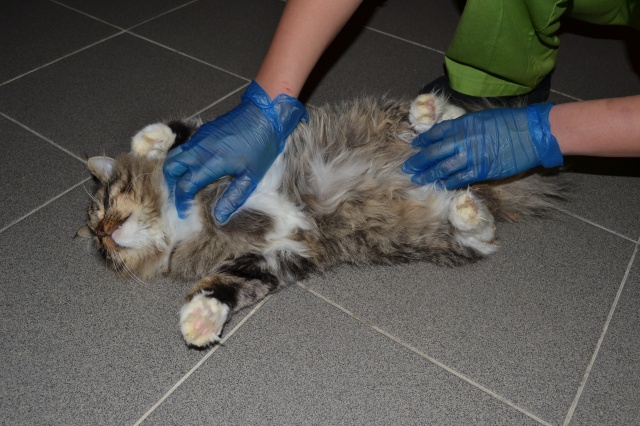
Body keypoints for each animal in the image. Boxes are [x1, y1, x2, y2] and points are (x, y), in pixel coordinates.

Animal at [77, 93, 561, 348]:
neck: (184, 218)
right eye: (102, 247)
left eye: (105, 203)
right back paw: (467, 201)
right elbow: (229, 284)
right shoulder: (277, 252)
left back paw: (433, 117)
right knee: (480, 233)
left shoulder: (228, 160)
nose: (104, 231)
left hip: (394, 132)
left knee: (452, 121)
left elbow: (187, 135)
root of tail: (482, 183)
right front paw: (200, 320)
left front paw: (148, 142)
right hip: (433, 239)